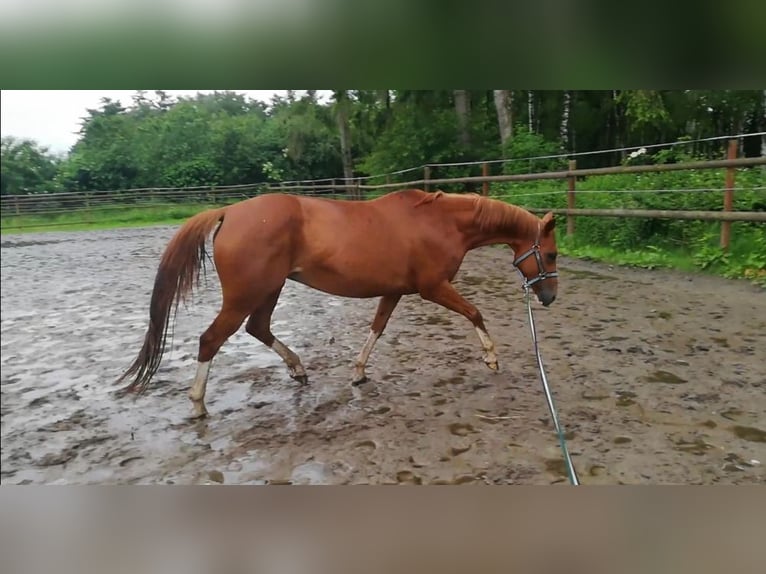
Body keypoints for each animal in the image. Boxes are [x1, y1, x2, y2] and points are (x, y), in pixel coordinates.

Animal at [117, 190, 560, 418]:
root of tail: (229, 212)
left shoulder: (394, 291)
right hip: (247, 293)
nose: (549, 296)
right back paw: (197, 404)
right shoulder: (433, 287)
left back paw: (297, 369)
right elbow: (474, 312)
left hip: (269, 290)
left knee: (258, 328)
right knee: (211, 340)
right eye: (553, 255)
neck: (441, 223)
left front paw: (359, 373)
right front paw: (492, 358)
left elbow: (376, 329)